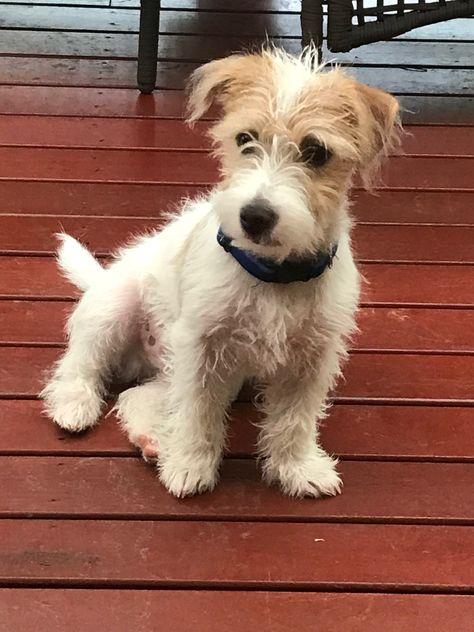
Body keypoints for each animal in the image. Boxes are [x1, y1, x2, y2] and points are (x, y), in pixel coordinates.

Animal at [40, 48, 398, 498]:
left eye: (316, 152)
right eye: (245, 139)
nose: (255, 216)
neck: (272, 276)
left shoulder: (312, 357)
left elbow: (295, 418)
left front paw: (297, 467)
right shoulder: (201, 348)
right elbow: (196, 411)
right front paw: (190, 464)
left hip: (177, 366)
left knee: (138, 395)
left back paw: (152, 438)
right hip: (114, 308)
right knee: (80, 362)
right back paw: (75, 405)